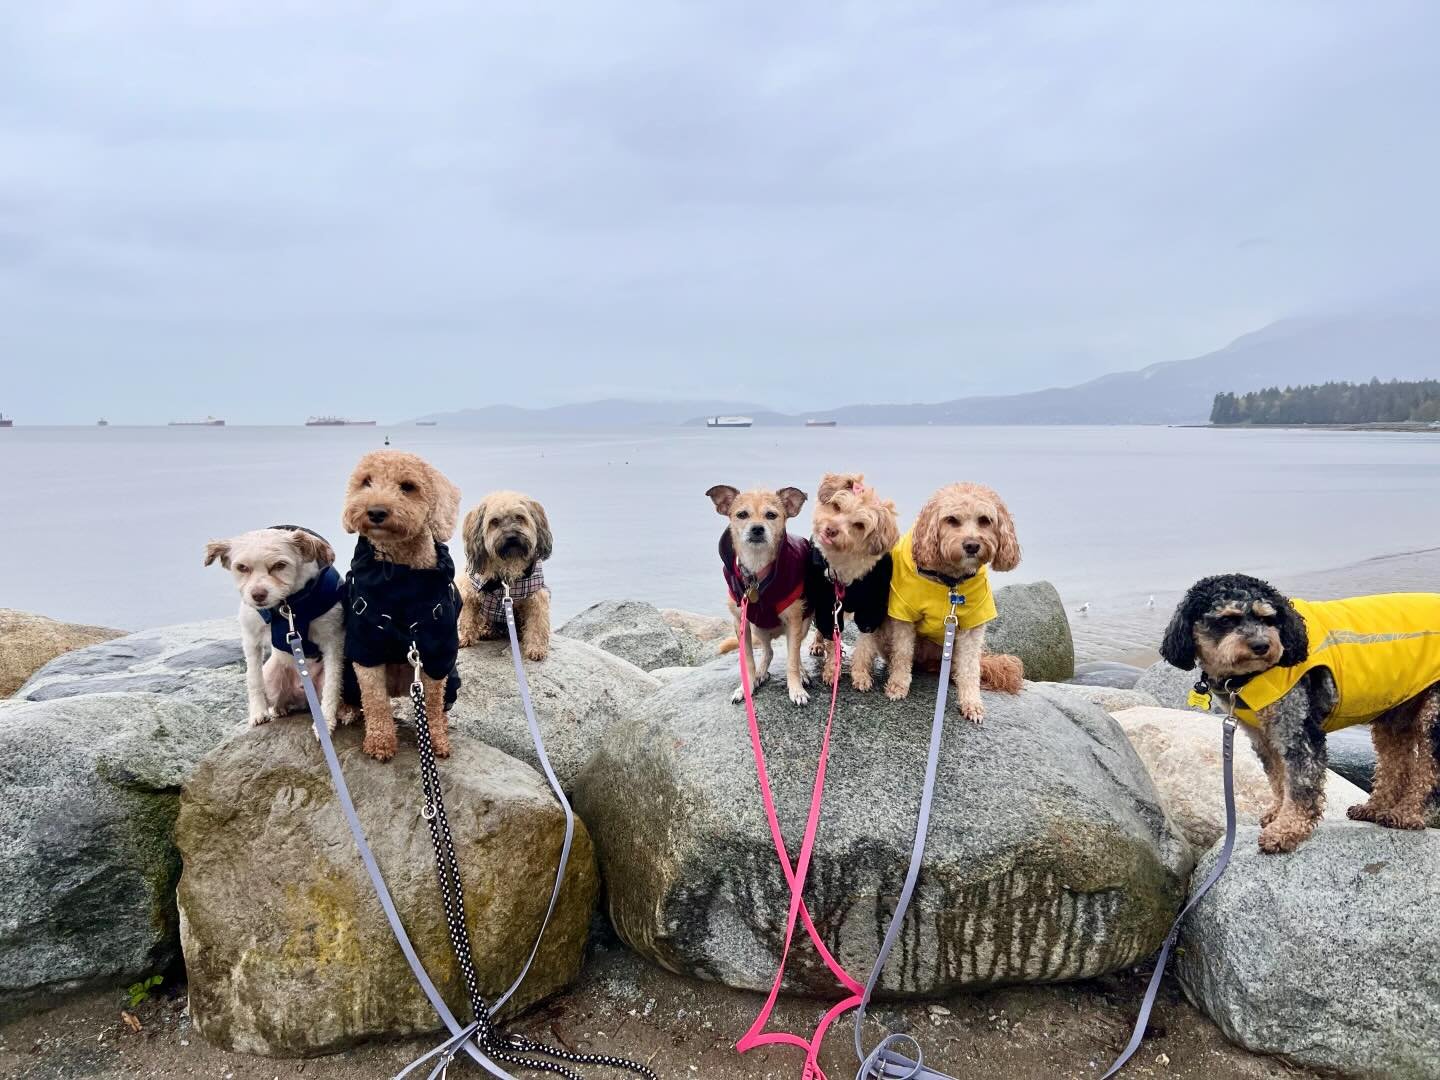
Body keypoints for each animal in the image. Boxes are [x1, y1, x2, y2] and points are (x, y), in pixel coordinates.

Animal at [203, 527, 345, 731]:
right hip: (272, 678)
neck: (287, 605)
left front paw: (325, 721)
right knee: (277, 698)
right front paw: (258, 712)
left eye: (280, 565)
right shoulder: (251, 638)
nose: (258, 595)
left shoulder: (332, 638)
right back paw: (279, 709)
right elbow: (253, 678)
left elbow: (332, 684)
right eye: (242, 567)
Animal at [338, 452, 460, 766]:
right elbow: (375, 700)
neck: (402, 580)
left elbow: (432, 702)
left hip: (453, 678)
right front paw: (380, 742)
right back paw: (347, 710)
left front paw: (436, 740)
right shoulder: (366, 647)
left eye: (407, 487)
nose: (376, 511)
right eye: (366, 482)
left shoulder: (437, 653)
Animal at [457, 489, 552, 659]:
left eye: (520, 517)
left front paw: (536, 648)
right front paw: (464, 638)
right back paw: (486, 630)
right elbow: (467, 616)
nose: (511, 537)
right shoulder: (468, 590)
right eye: (494, 521)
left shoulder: (536, 597)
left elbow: (537, 623)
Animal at [875, 483, 1025, 722]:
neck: (950, 581)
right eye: (952, 520)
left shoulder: (973, 626)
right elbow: (902, 653)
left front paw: (971, 702)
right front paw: (898, 685)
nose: (972, 545)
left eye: (985, 520)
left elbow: (970, 668)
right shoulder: (903, 615)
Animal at [1157, 576, 1440, 852]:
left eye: (1267, 619)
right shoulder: (1264, 736)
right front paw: (1278, 812)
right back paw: (1375, 808)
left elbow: (1301, 783)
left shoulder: (1296, 727)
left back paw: (1409, 813)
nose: (1261, 645)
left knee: (1430, 771)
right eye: (1226, 619)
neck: (1248, 678)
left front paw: (1286, 829)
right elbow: (1278, 778)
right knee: (1396, 762)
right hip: (1396, 713)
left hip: (1433, 714)